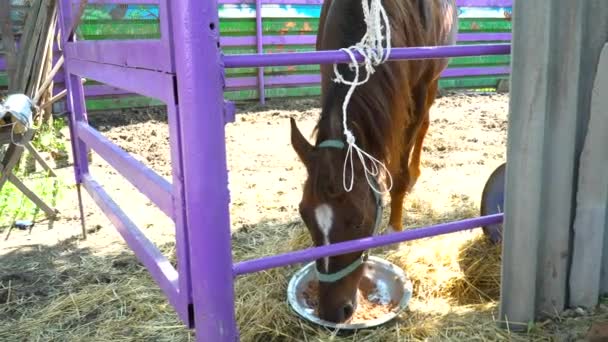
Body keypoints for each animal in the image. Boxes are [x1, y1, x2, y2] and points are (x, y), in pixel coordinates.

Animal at [290, 0, 456, 324]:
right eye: (304, 214)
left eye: (358, 221)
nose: (332, 312)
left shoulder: (416, 90)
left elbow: (401, 162)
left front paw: (394, 227)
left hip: (431, 83)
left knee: (423, 126)